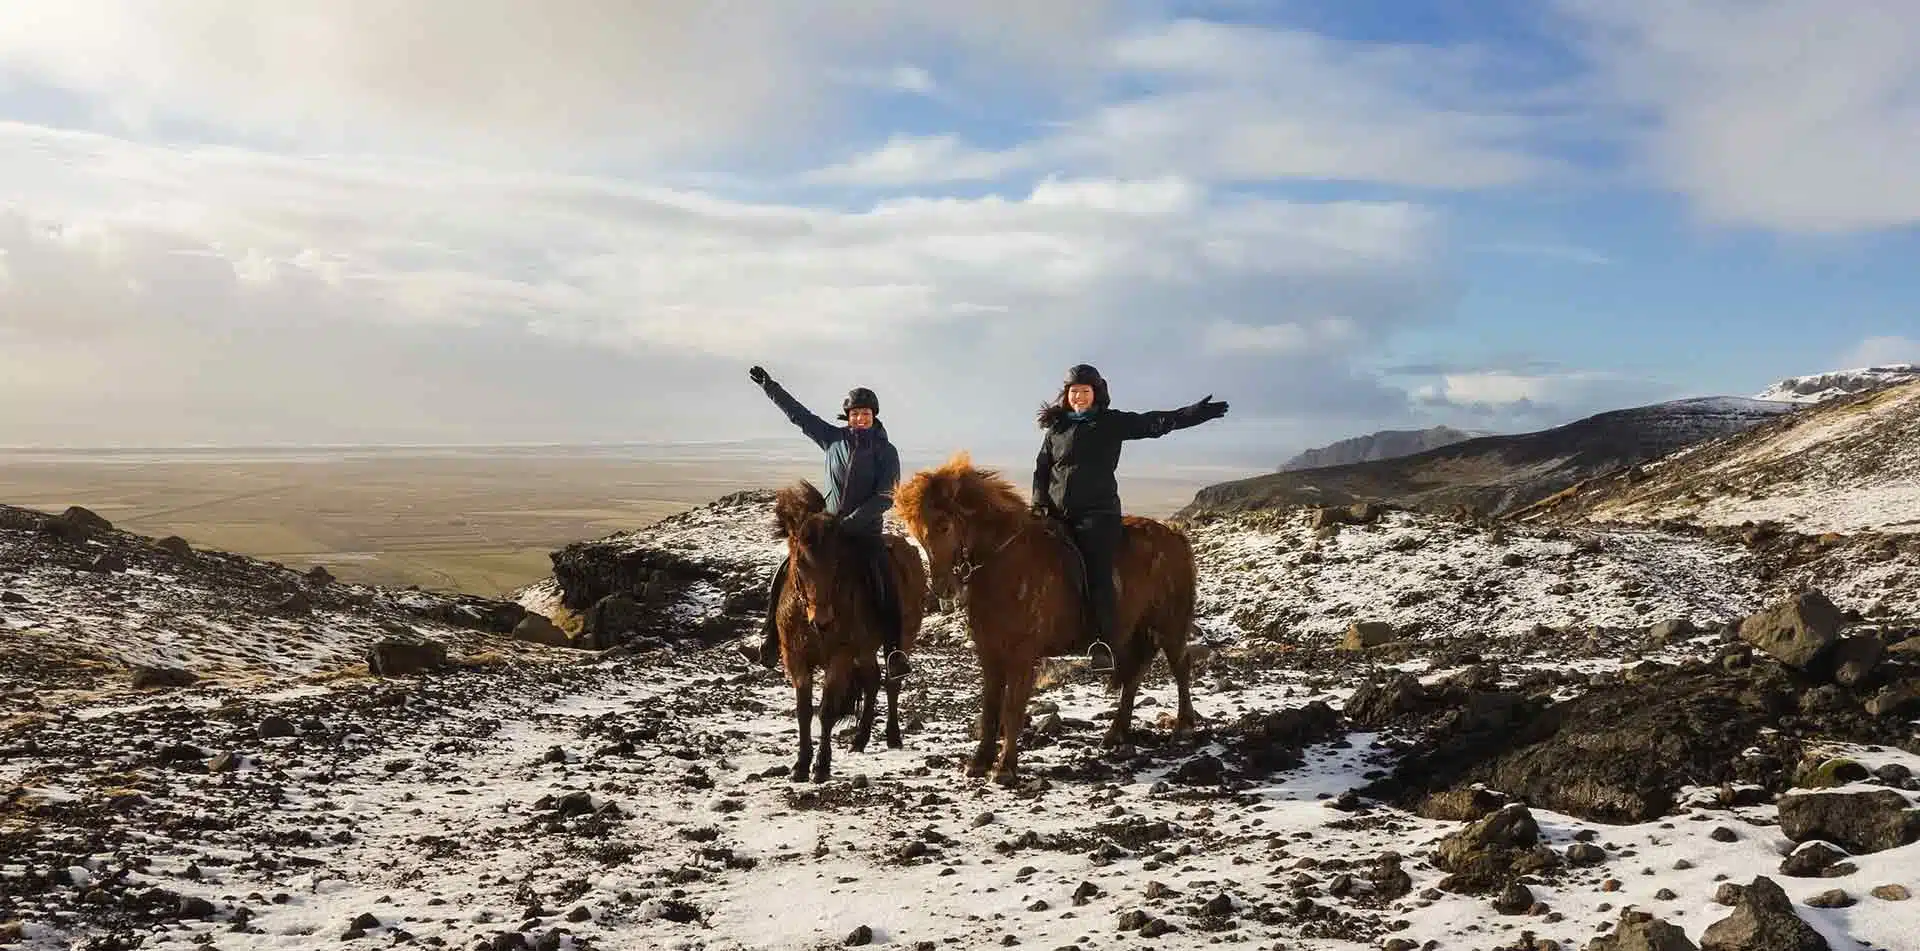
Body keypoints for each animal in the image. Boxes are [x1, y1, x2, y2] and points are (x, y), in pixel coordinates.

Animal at [775, 480, 933, 783]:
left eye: (836, 564)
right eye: (800, 562)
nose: (822, 621)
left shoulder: (840, 658)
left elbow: (826, 711)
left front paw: (821, 767)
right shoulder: (797, 659)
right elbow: (803, 712)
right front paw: (801, 765)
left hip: (901, 640)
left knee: (892, 683)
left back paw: (893, 737)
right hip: (865, 649)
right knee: (872, 681)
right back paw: (859, 739)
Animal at [890, 453, 1190, 787]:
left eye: (943, 525)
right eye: (916, 532)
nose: (943, 588)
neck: (1004, 561)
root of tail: (1175, 535)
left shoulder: (1021, 656)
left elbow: (1012, 708)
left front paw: (1005, 768)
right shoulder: (990, 653)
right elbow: (990, 707)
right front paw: (979, 763)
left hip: (1170, 627)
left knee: (1180, 668)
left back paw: (1183, 727)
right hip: (1133, 633)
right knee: (1134, 676)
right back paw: (1115, 734)